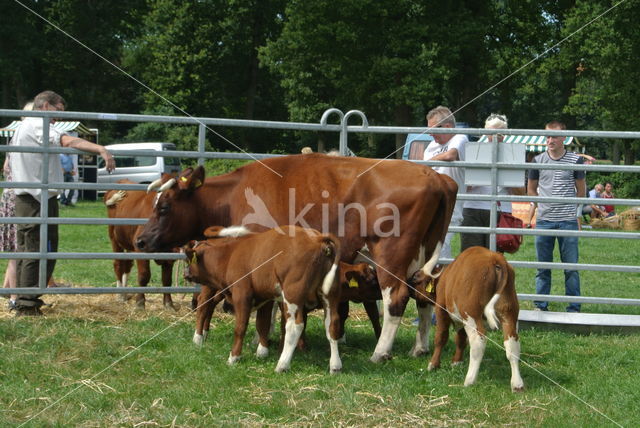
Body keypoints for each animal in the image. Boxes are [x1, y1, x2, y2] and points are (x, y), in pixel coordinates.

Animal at [182, 226, 342, 372]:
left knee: (294, 327)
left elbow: (240, 327)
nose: (185, 274)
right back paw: (335, 366)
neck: (230, 255)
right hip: (329, 296)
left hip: (293, 295)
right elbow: (262, 323)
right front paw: (262, 353)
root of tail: (317, 238)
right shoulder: (265, 297)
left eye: (189, 260)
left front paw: (234, 357)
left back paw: (282, 365)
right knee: (332, 324)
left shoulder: (242, 294)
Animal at [424, 247, 524, 392]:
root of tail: (496, 259)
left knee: (478, 341)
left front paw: (433, 364)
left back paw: (470, 380)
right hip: (509, 313)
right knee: (512, 344)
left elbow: (441, 337)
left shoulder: (441, 309)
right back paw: (517, 384)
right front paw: (457, 361)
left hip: (471, 314)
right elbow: (460, 339)